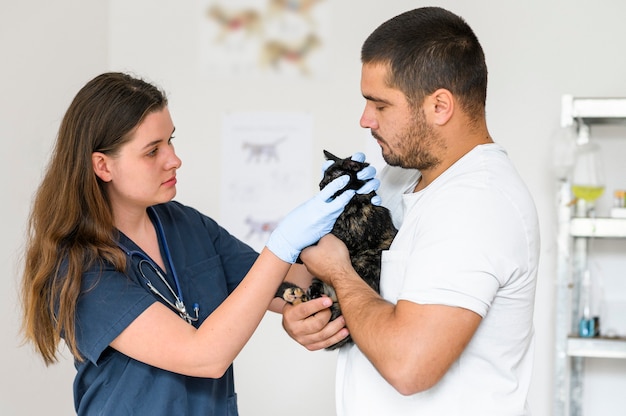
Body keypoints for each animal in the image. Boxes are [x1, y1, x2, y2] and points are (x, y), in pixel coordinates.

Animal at [276, 148, 398, 350]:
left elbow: (326, 234)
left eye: (332, 176)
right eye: (323, 175)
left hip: (363, 263)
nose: (320, 184)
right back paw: (296, 294)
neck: (352, 203)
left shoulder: (351, 236)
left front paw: (300, 249)